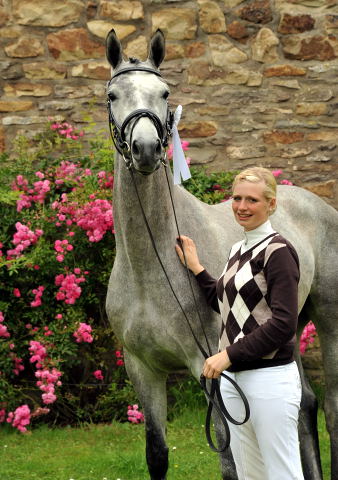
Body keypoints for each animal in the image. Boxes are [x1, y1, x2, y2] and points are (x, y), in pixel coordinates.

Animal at [105, 29, 338, 480]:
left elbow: (230, 459)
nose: (145, 149)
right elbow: (157, 455)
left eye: (164, 93)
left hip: (332, 324)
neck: (151, 267)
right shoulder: (143, 370)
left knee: (333, 409)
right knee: (304, 406)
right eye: (112, 95)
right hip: (289, 332)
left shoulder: (210, 368)